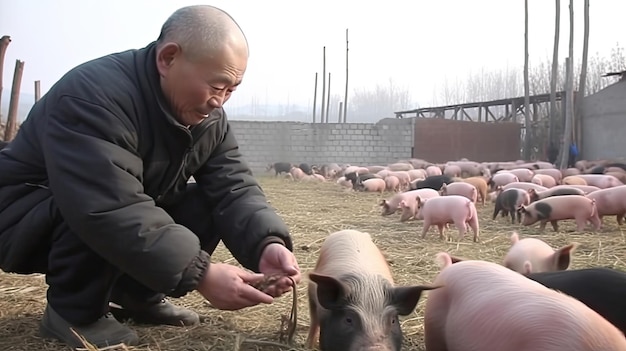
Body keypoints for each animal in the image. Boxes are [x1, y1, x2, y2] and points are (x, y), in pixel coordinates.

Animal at [304, 230, 436, 350]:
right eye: (348, 319)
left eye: (393, 320)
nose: (376, 348)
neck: (367, 287)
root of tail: (349, 231)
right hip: (311, 294)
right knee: (314, 319)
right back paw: (309, 345)